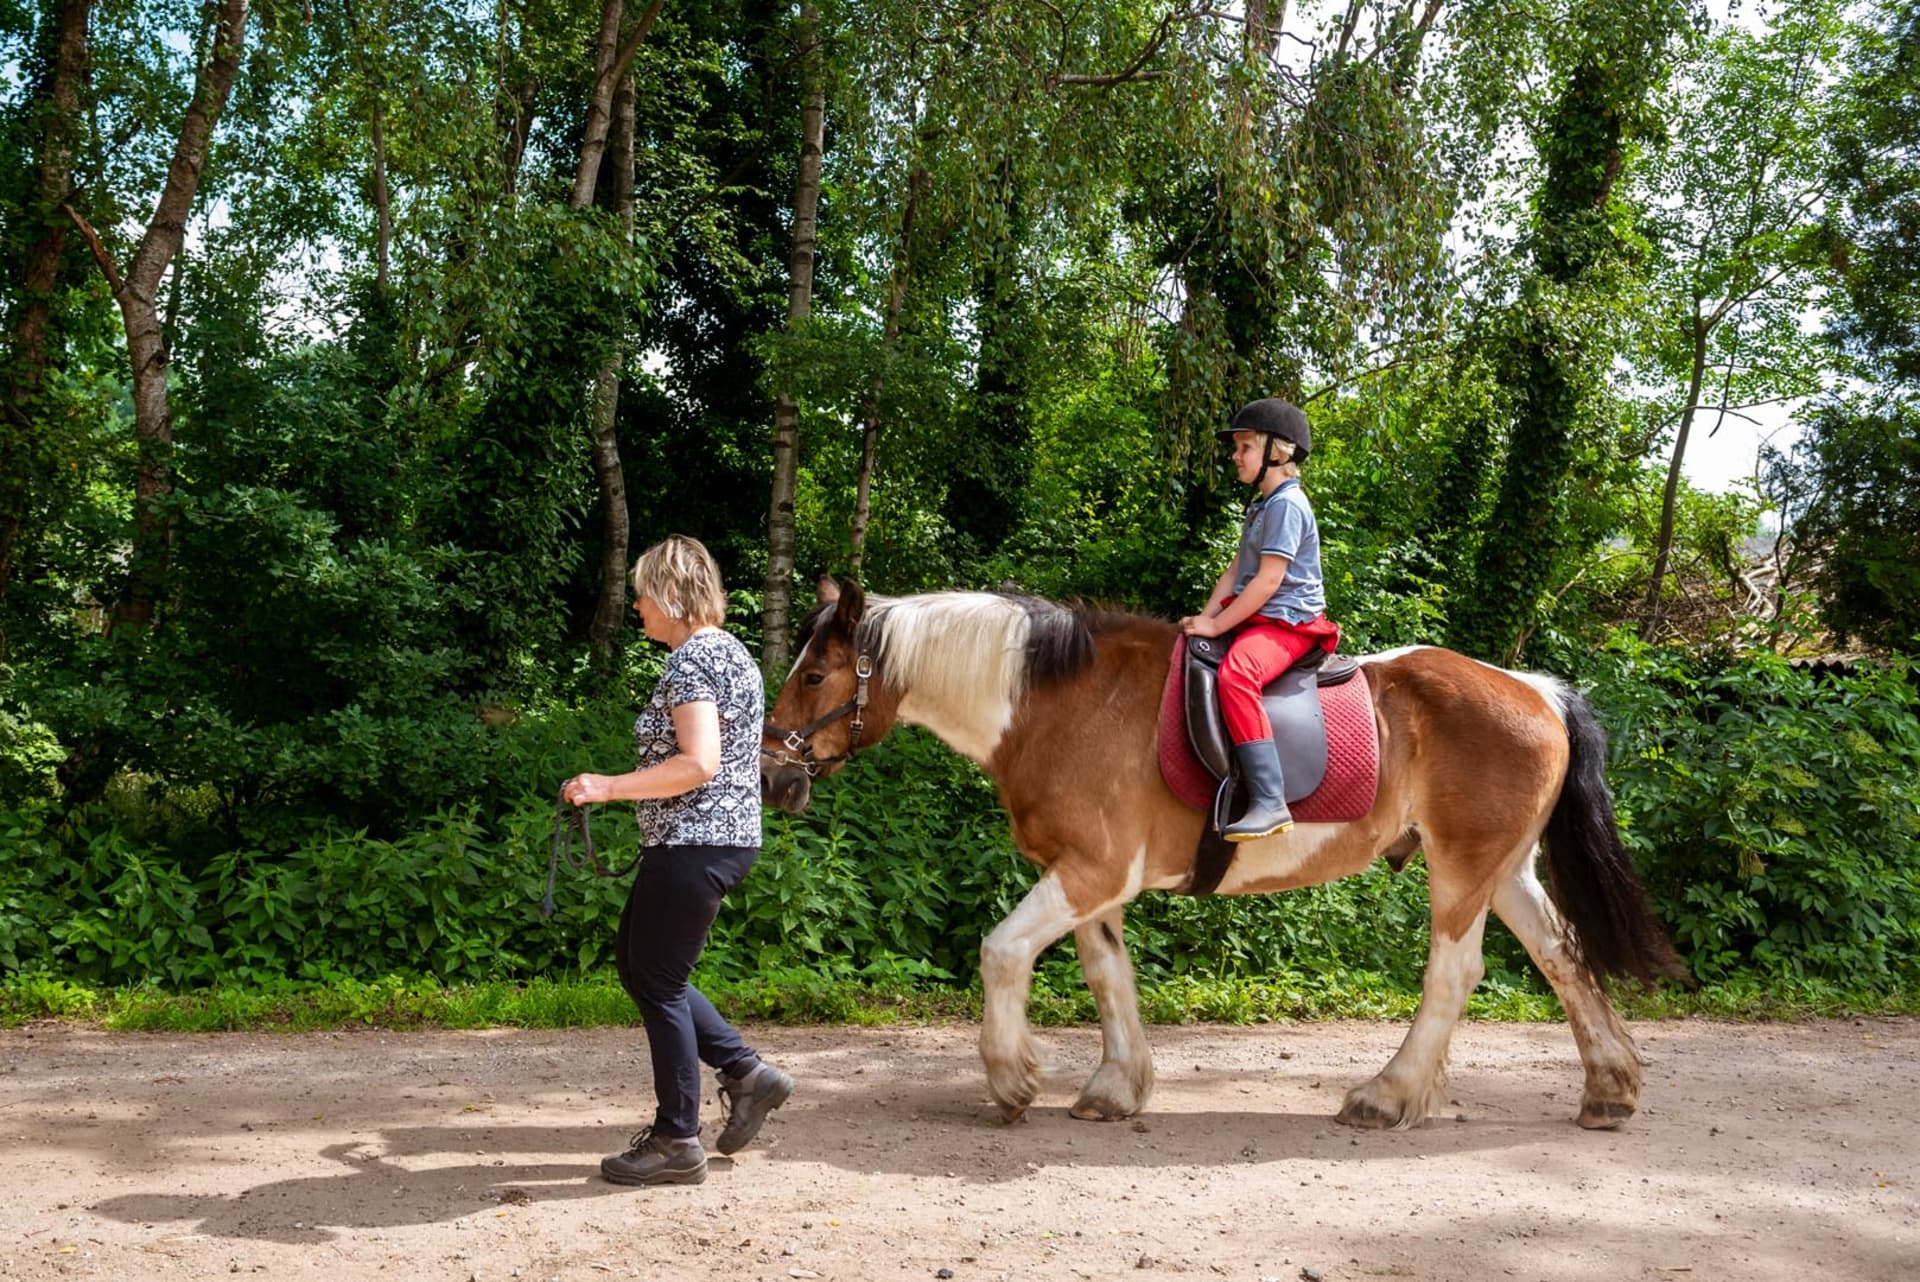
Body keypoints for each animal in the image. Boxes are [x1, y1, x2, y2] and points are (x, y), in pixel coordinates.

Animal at [761, 580, 1687, 1130]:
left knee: (1454, 974)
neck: (1054, 703)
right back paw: (1609, 1089)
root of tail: (1537, 689)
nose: (773, 776)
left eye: (813, 676)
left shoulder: (1090, 871)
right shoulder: (1092, 879)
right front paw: (1115, 1087)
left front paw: (1013, 1077)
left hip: (1463, 868)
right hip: (1506, 869)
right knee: (1562, 956)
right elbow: (1108, 976)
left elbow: (1001, 953)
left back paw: (1386, 1096)